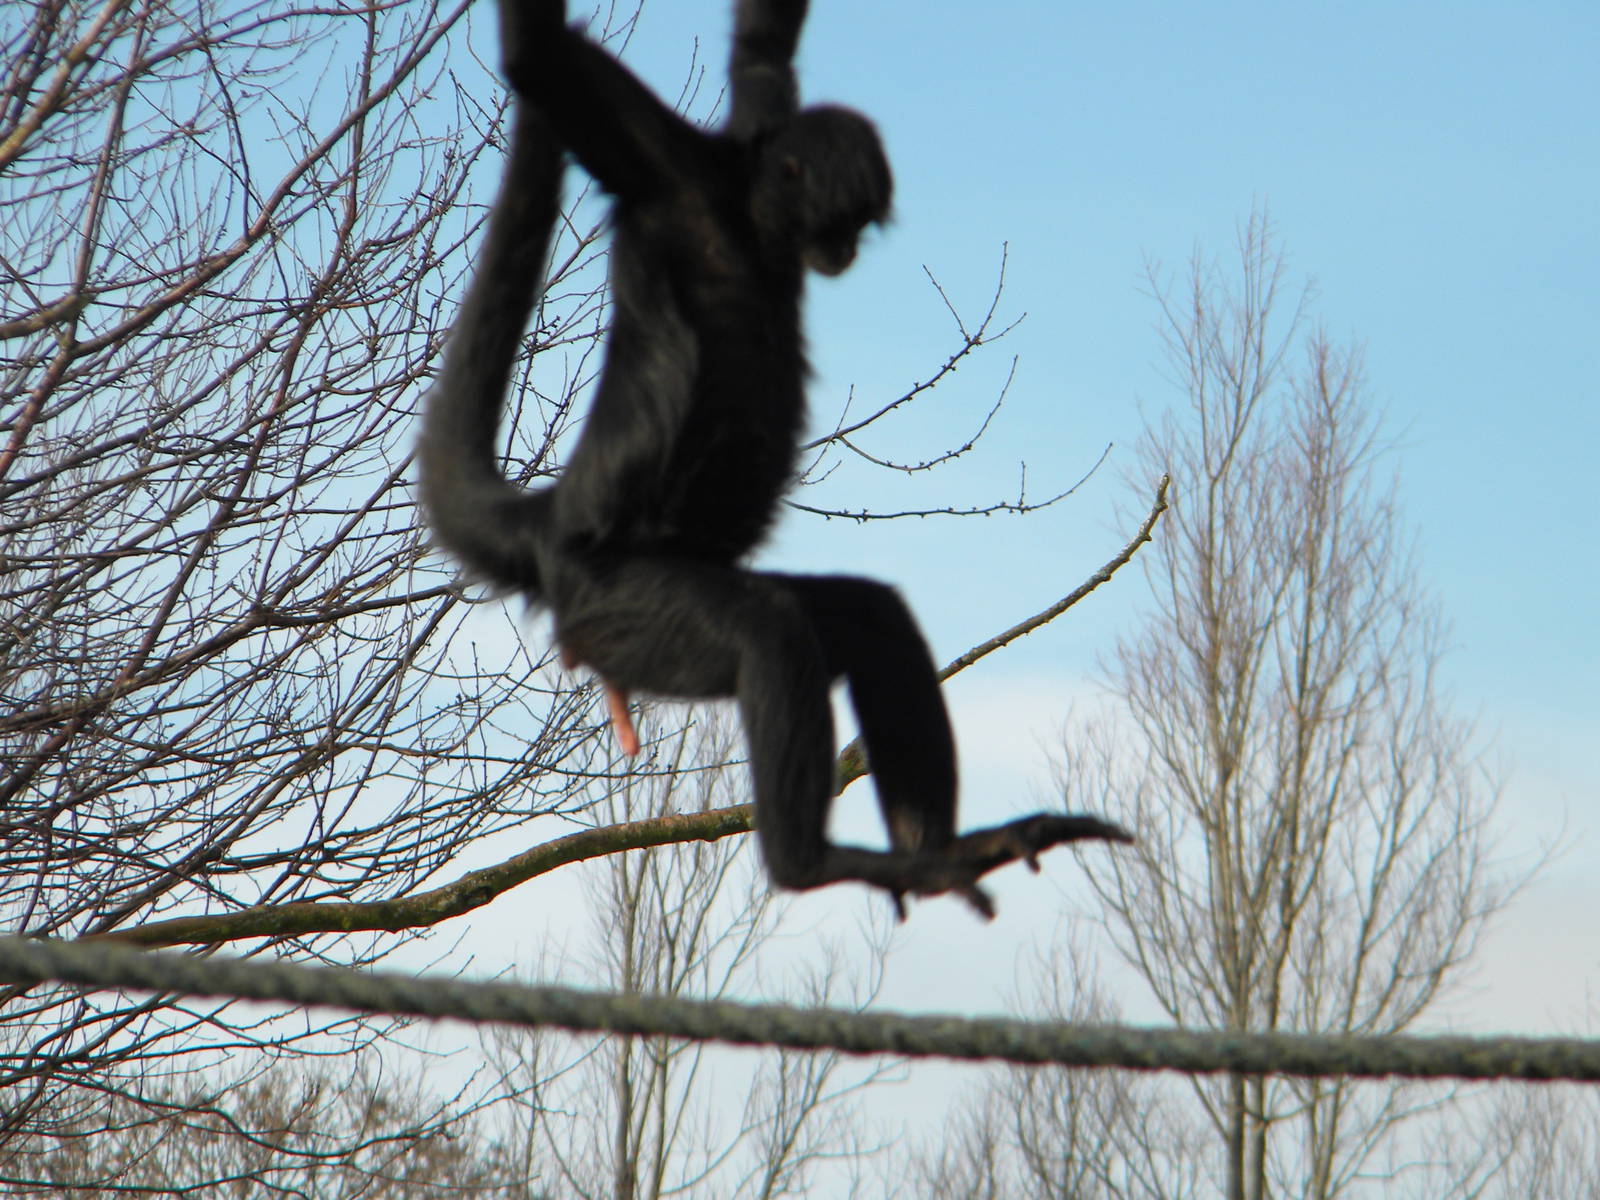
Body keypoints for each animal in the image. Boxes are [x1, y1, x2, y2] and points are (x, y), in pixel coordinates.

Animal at [420, 0, 1131, 917]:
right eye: (845, 220)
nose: (848, 250)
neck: (743, 218)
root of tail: (551, 525)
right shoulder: (664, 165)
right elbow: (536, 58)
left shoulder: (744, 120)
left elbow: (762, 51)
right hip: (619, 607)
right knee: (769, 631)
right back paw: (814, 863)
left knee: (865, 615)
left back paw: (936, 853)